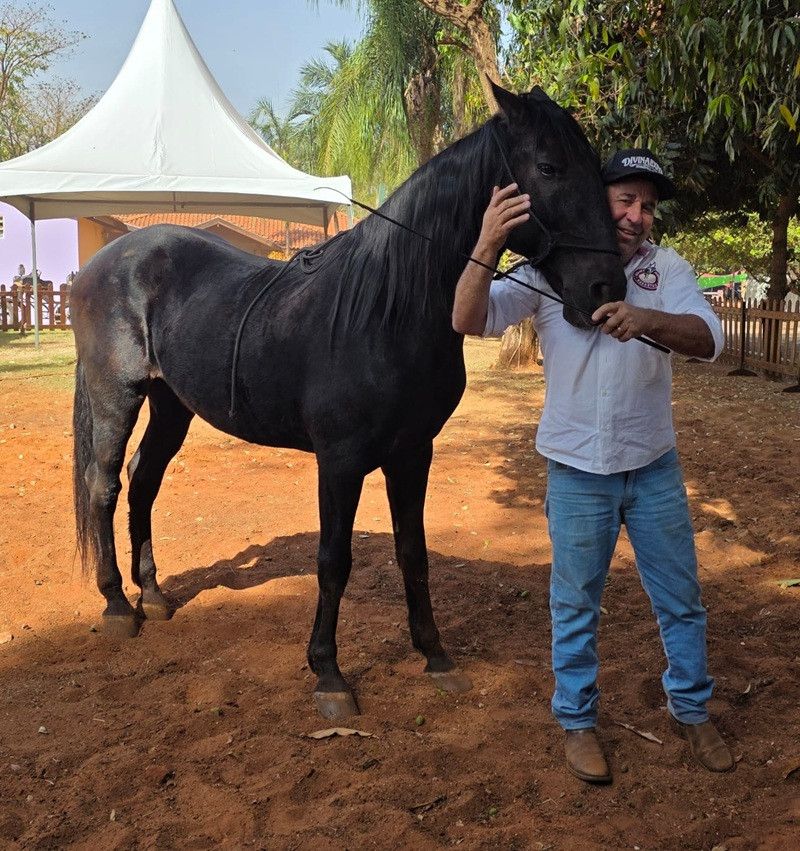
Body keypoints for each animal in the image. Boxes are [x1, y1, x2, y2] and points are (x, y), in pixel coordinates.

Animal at [71, 83, 626, 720]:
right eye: (550, 167)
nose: (606, 289)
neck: (387, 310)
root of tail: (102, 262)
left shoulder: (412, 454)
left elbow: (414, 552)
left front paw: (435, 656)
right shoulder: (339, 462)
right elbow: (333, 561)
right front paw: (328, 674)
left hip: (171, 405)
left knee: (143, 481)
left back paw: (155, 595)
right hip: (117, 395)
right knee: (104, 485)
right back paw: (117, 605)